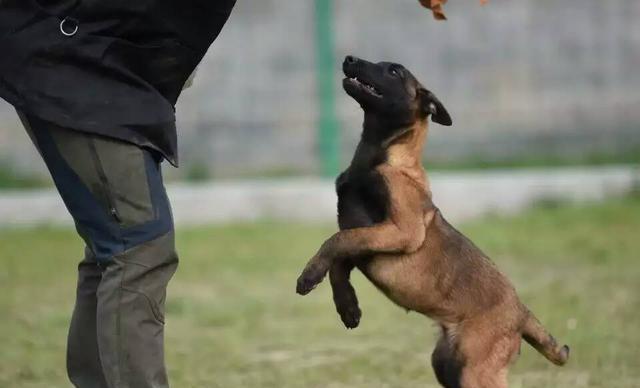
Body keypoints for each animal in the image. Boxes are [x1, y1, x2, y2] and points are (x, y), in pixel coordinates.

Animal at [296, 55, 568, 388]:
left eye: (394, 71)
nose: (349, 58)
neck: (381, 156)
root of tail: (521, 312)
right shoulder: (363, 236)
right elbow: (338, 259)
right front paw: (347, 305)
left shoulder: (403, 231)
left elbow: (335, 241)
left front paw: (310, 275)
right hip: (447, 363)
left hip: (475, 370)